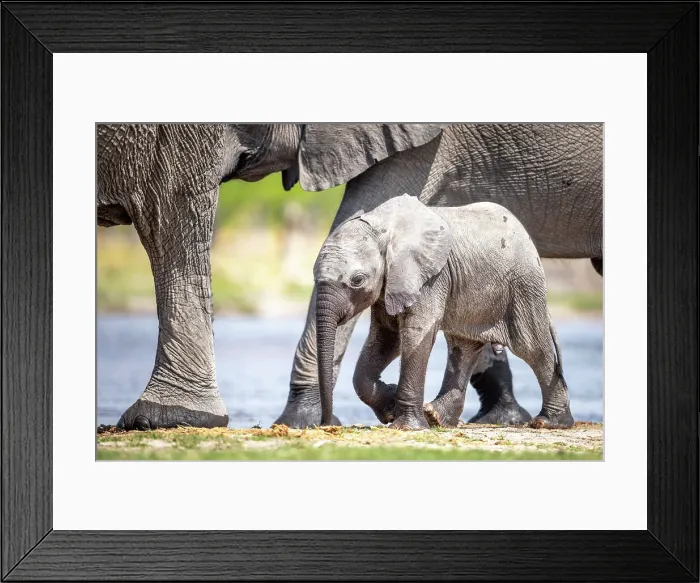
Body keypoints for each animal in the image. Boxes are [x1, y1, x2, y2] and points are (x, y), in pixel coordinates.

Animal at [313, 195, 573, 431]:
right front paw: (390, 406)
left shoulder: (429, 278)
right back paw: (436, 418)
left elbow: (415, 333)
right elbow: (387, 337)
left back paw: (551, 423)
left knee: (532, 348)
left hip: (523, 287)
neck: (381, 227)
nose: (325, 424)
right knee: (463, 348)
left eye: (357, 280)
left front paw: (406, 427)